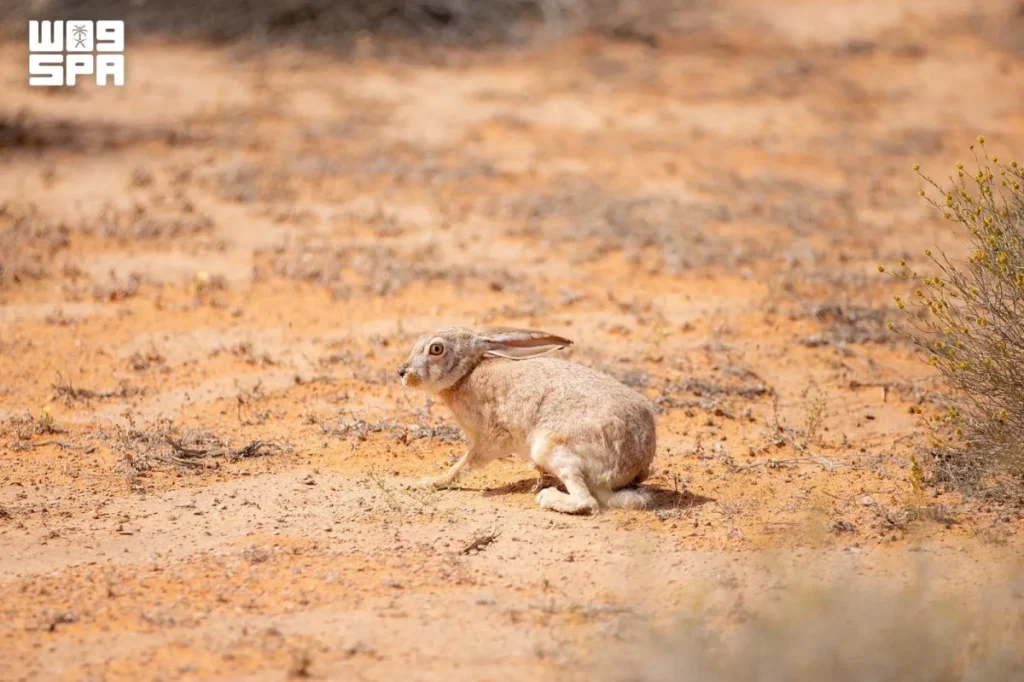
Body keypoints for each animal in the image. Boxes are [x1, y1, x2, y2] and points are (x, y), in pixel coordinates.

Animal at [396, 326, 656, 514]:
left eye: (436, 349)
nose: (402, 371)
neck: (466, 374)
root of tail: (636, 461)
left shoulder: (491, 439)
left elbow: (464, 465)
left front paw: (429, 481)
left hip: (553, 448)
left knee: (587, 502)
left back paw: (547, 496)